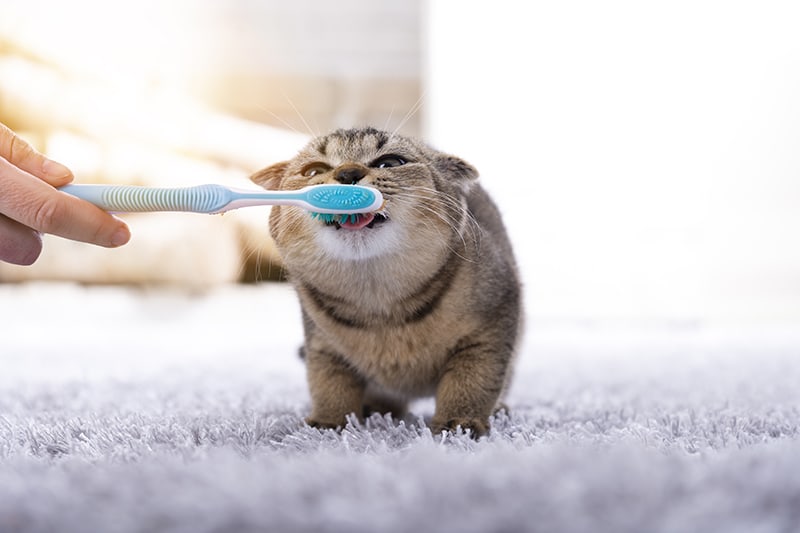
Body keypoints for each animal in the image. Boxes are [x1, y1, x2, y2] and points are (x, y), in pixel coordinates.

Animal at [252, 125, 524, 436]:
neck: (379, 304)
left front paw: (459, 423)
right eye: (313, 171)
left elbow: (472, 381)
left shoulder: (491, 326)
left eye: (390, 162)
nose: (347, 173)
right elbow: (328, 383)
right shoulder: (322, 344)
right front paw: (328, 423)